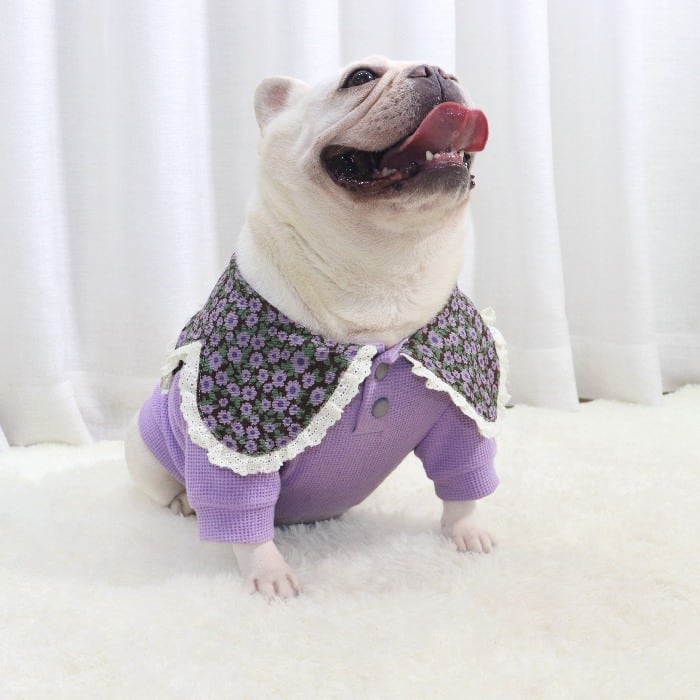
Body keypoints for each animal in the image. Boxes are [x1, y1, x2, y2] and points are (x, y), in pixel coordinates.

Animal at [125, 56, 507, 599]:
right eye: (360, 77)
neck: (383, 272)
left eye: (452, 71)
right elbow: (243, 515)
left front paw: (467, 532)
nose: (435, 70)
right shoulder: (233, 443)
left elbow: (463, 476)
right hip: (146, 455)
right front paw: (269, 575)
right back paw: (184, 502)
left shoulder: (462, 411)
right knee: (171, 489)